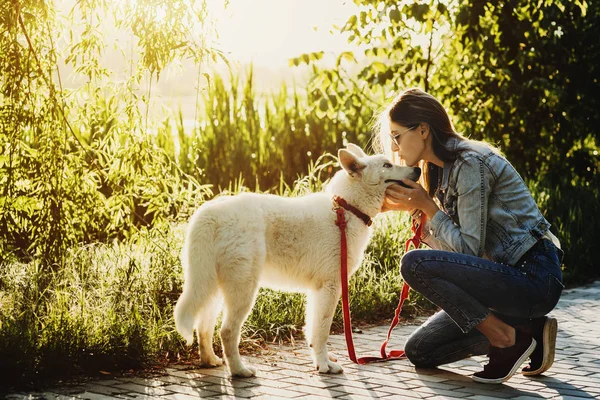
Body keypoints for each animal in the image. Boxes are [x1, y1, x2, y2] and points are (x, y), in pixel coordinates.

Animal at [175, 145, 422, 378]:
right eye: (387, 165)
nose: (418, 170)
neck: (347, 208)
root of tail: (209, 213)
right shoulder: (330, 286)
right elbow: (322, 330)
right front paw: (325, 366)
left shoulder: (318, 290)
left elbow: (313, 330)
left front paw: (320, 360)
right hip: (242, 290)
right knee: (226, 332)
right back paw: (239, 371)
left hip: (213, 288)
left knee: (203, 327)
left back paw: (210, 360)